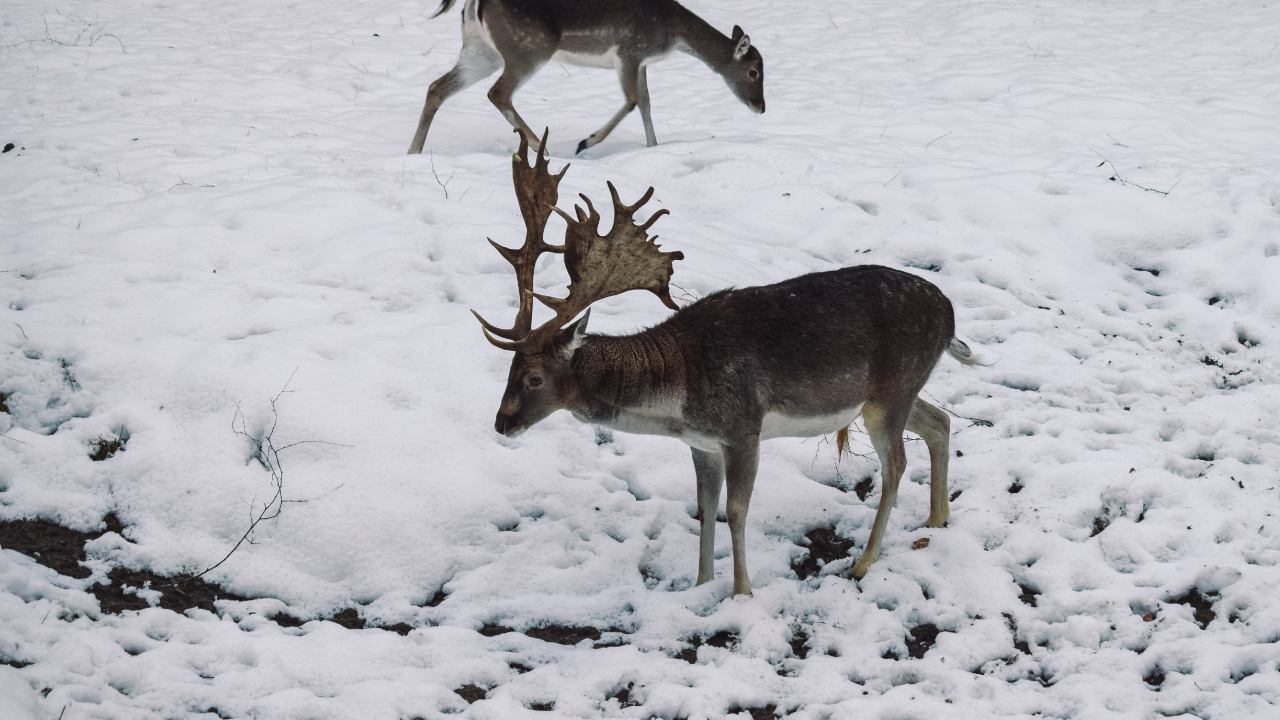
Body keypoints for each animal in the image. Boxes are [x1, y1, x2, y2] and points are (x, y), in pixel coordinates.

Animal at [407, 0, 765, 155]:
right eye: (754, 71)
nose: (761, 106)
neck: (673, 32)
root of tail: (473, 3)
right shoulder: (629, 52)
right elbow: (633, 100)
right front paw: (585, 141)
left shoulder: (641, 62)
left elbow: (646, 103)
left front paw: (653, 147)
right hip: (529, 49)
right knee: (498, 93)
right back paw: (543, 150)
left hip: (481, 51)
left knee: (436, 87)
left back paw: (413, 152)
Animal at [473, 130, 983, 596]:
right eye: (508, 371)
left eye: (534, 378)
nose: (501, 423)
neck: (678, 395)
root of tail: (949, 312)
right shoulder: (701, 443)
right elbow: (705, 508)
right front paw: (701, 585)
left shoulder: (743, 428)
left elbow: (736, 511)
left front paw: (741, 593)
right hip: (891, 391)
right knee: (939, 420)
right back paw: (936, 520)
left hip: (891, 392)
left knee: (896, 464)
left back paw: (863, 562)